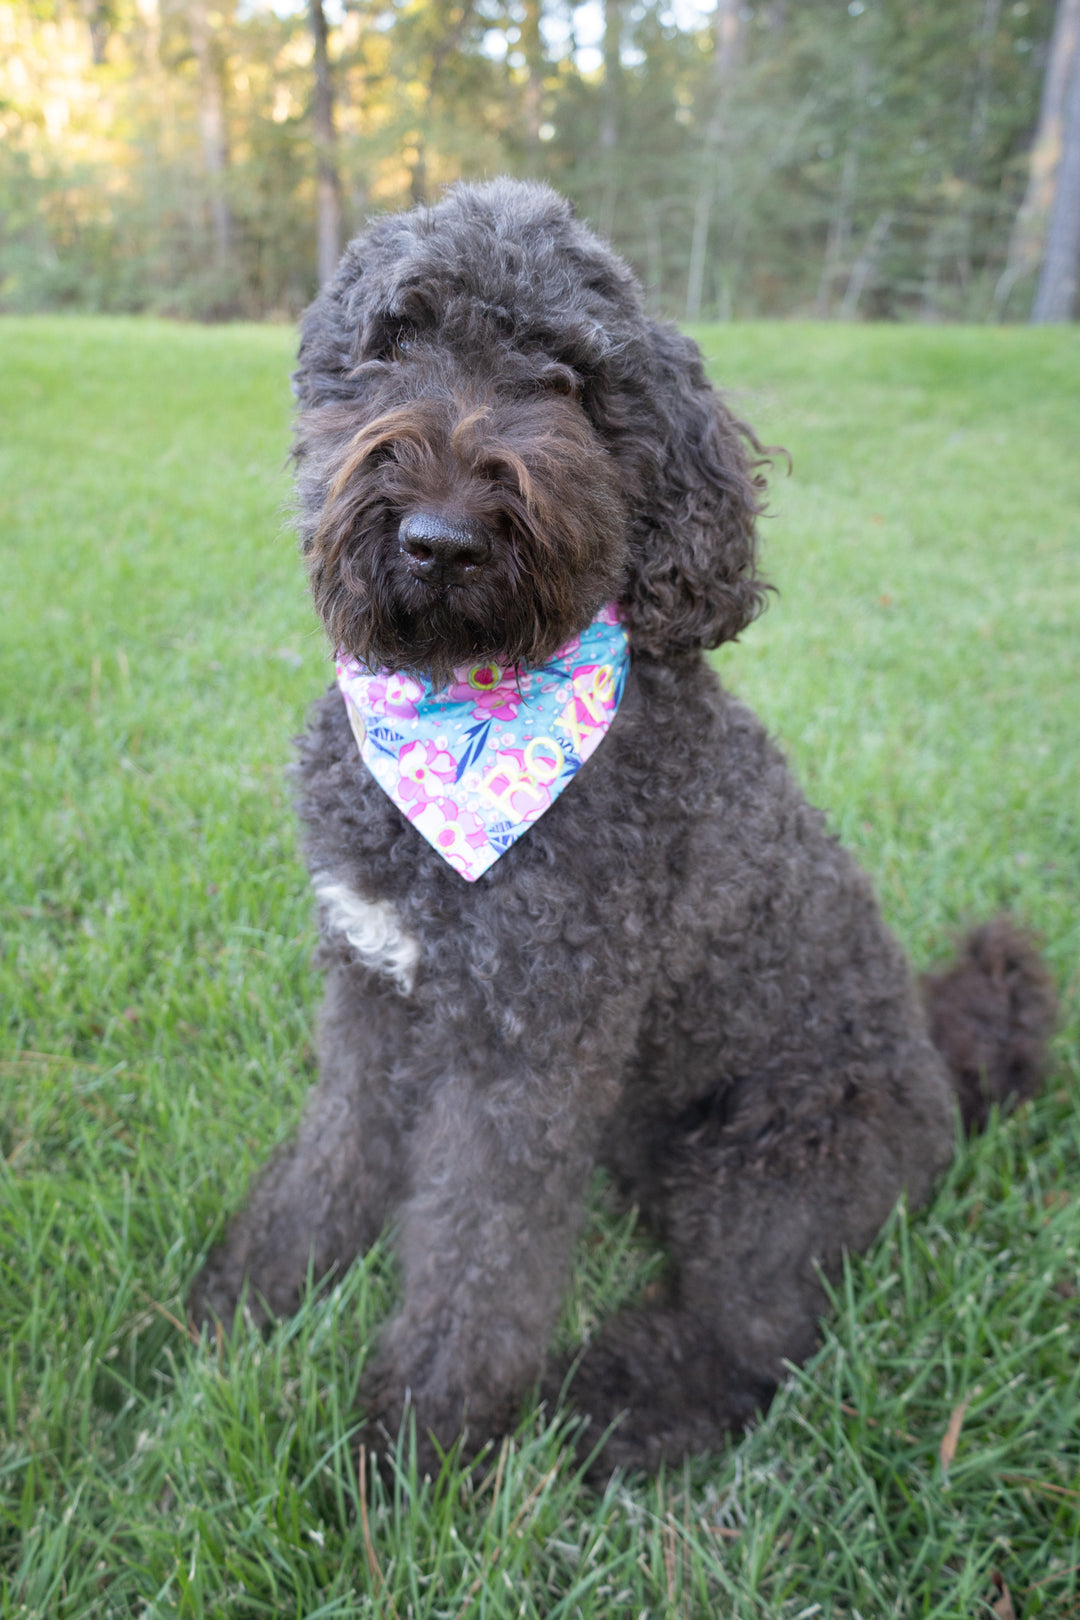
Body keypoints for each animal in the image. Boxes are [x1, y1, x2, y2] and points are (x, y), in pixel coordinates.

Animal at [187, 180, 1055, 1483]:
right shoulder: (374, 995)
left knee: (756, 1334)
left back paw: (615, 1409)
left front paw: (416, 1444)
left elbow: (480, 1255)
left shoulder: (530, 1051)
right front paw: (246, 1300)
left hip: (773, 1173)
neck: (467, 722)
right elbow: (331, 1161)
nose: (440, 535)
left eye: (567, 376)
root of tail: (943, 1080)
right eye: (392, 342)